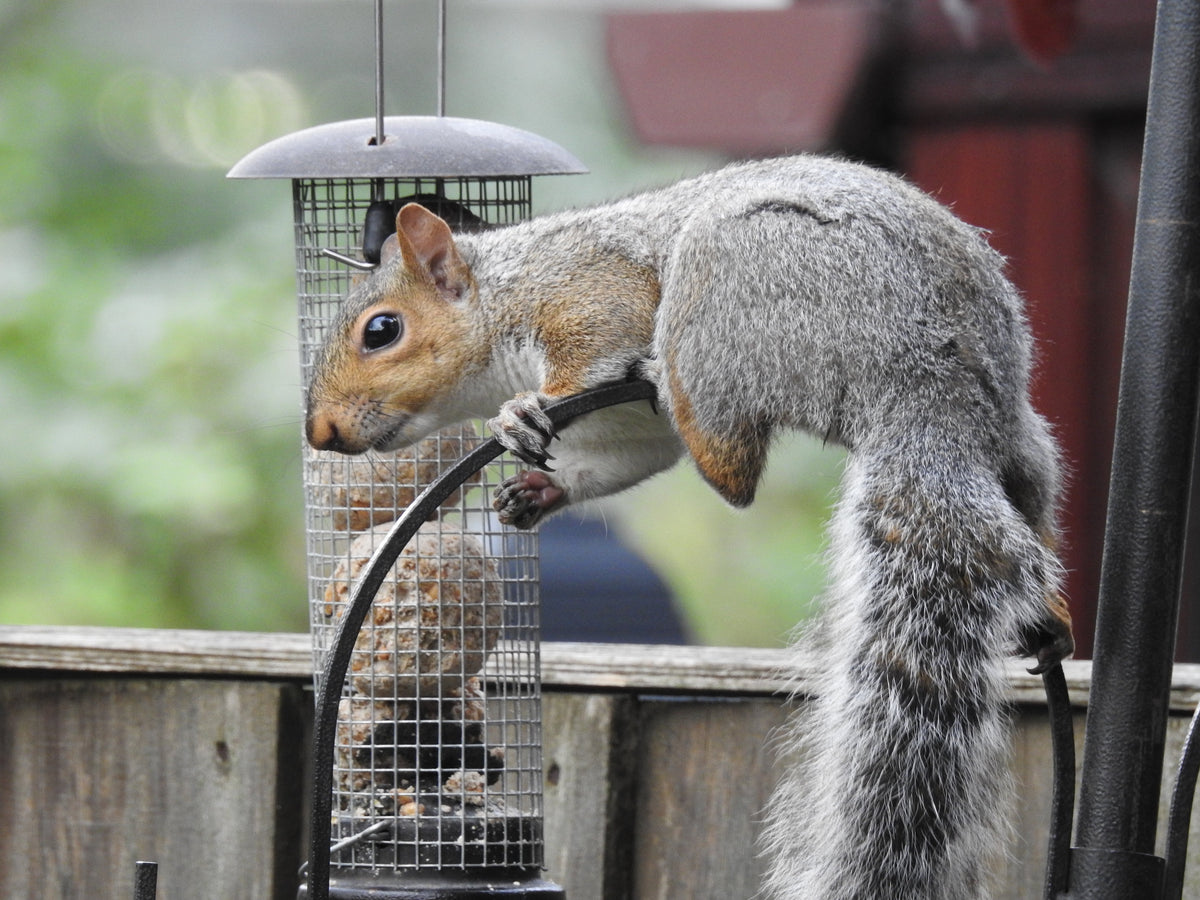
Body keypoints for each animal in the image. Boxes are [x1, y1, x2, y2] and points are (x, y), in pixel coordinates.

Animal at [304, 155, 1074, 900]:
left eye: (382, 330)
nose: (321, 432)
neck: (500, 292)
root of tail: (929, 392)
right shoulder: (631, 429)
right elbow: (632, 456)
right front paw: (540, 489)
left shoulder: (584, 291)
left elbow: (595, 341)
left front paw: (525, 411)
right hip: (1009, 431)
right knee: (1027, 483)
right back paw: (1052, 619)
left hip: (731, 280)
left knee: (732, 470)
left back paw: (667, 385)